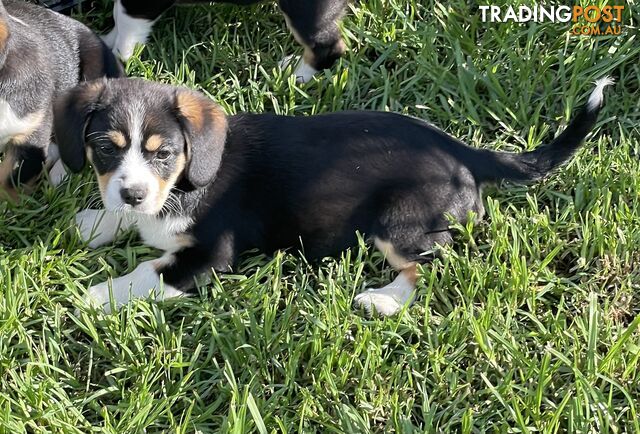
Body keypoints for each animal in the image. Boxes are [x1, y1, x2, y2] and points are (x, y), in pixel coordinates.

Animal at [53, 77, 608, 316]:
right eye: (106, 148)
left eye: (164, 153)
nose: (132, 193)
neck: (184, 185)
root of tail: (462, 149)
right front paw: (96, 221)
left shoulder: (212, 255)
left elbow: (151, 271)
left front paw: (98, 295)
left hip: (399, 223)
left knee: (431, 265)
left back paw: (383, 300)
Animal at [103, 0, 348, 83]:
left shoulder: (140, 3)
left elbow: (126, 25)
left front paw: (118, 58)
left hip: (305, 10)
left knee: (328, 47)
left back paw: (296, 75)